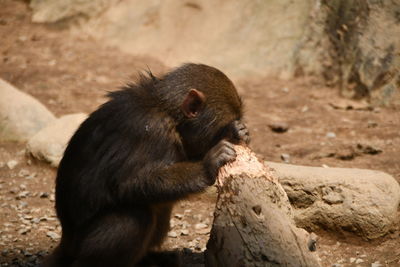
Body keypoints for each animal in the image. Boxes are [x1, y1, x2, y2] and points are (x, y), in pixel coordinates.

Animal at [42, 63, 248, 267]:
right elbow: (129, 184)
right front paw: (209, 164)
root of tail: (66, 243)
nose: (234, 128)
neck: (168, 113)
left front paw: (237, 132)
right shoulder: (150, 131)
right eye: (221, 126)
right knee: (135, 216)